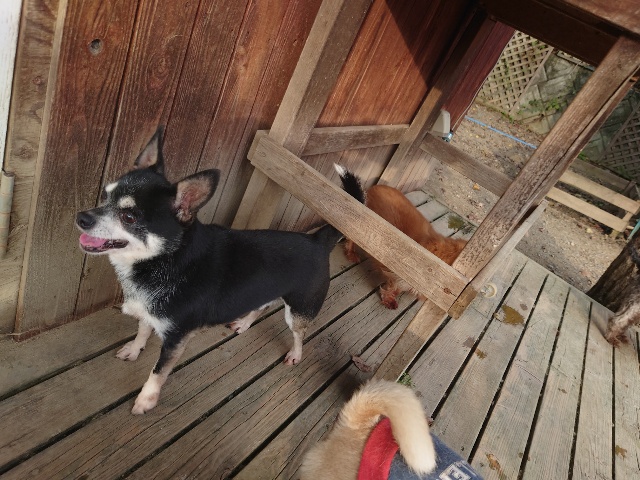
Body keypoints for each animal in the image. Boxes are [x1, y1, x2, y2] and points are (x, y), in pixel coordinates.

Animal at [76, 128, 344, 414]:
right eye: (105, 196)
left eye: (129, 217)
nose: (81, 217)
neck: (166, 260)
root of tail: (318, 240)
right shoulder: (150, 312)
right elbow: (143, 330)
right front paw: (135, 350)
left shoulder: (177, 339)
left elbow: (158, 371)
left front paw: (146, 400)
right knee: (262, 305)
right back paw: (244, 322)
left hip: (299, 310)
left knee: (299, 334)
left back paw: (295, 354)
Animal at [336, 166, 467, 309]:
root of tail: (375, 187)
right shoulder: (401, 275)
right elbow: (394, 287)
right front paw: (389, 299)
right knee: (350, 238)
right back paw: (351, 253)